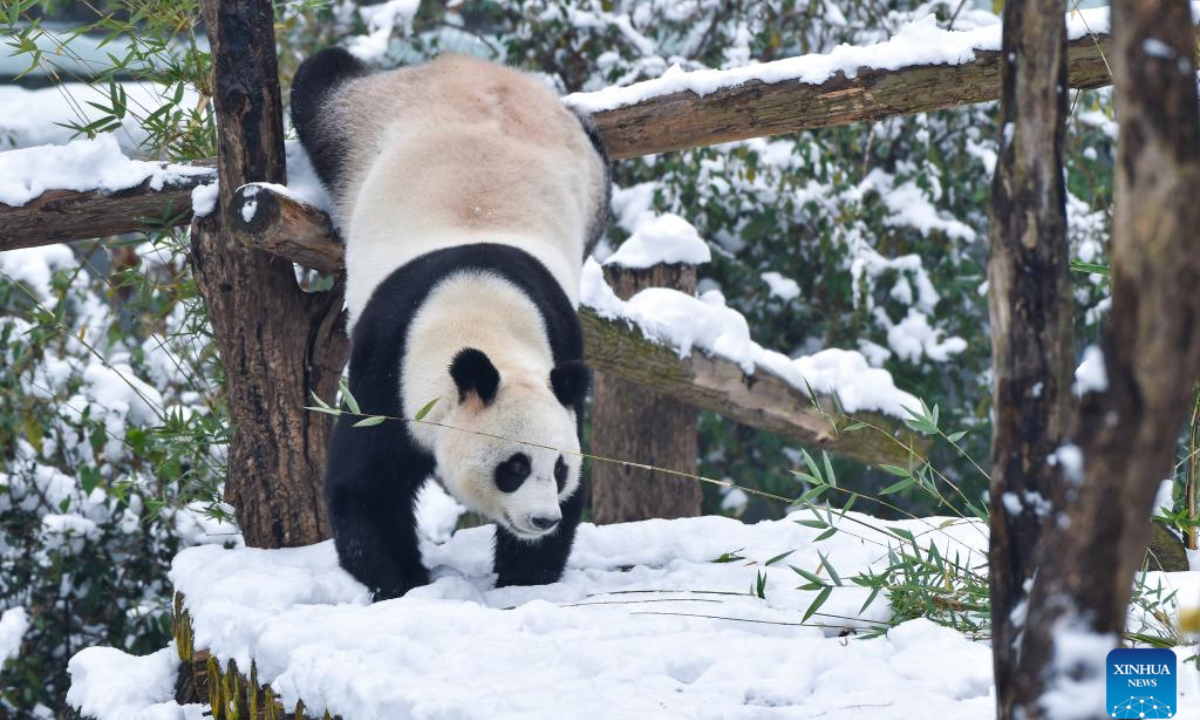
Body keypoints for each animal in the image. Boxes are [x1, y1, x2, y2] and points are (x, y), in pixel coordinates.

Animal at [290, 47, 609, 600]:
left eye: (558, 466)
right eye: (514, 467)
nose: (542, 519)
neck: (478, 314)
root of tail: (482, 69)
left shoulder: (559, 345)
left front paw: (523, 576)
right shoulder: (386, 364)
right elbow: (366, 484)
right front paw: (402, 582)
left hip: (588, 175)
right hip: (365, 116)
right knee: (321, 84)